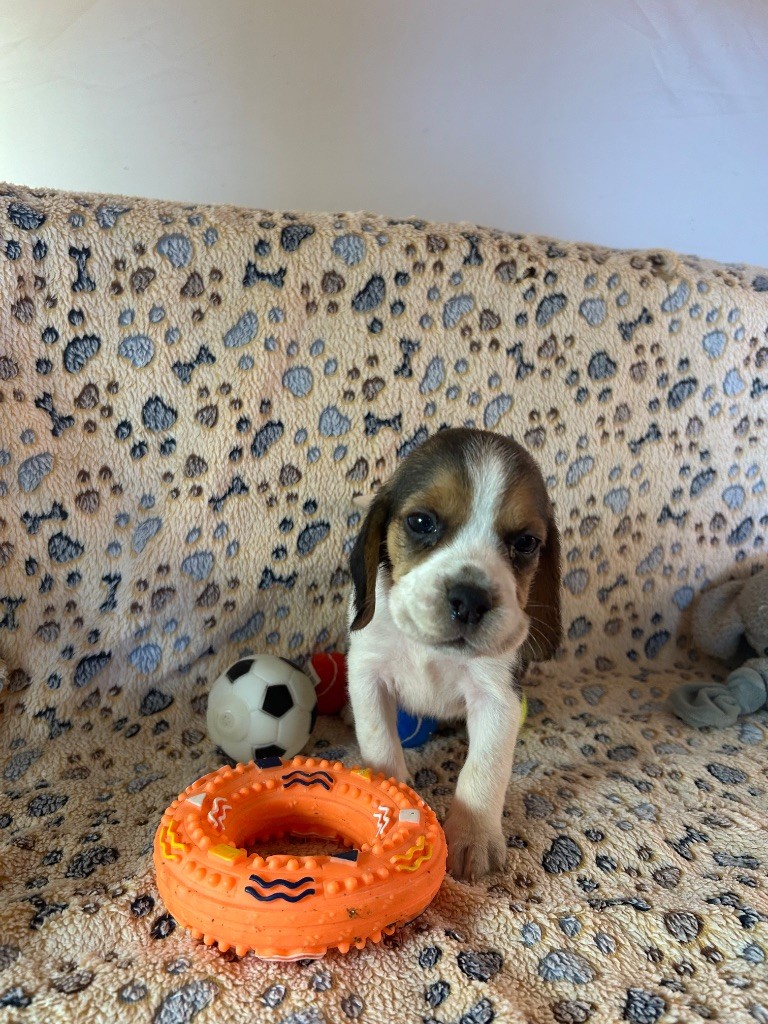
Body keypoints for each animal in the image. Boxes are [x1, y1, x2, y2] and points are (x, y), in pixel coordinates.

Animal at [346, 427, 561, 881]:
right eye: (421, 522)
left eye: (526, 542)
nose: (470, 599)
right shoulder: (368, 674)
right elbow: (380, 743)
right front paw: (387, 792)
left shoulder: (498, 699)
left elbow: (484, 769)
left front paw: (473, 835)